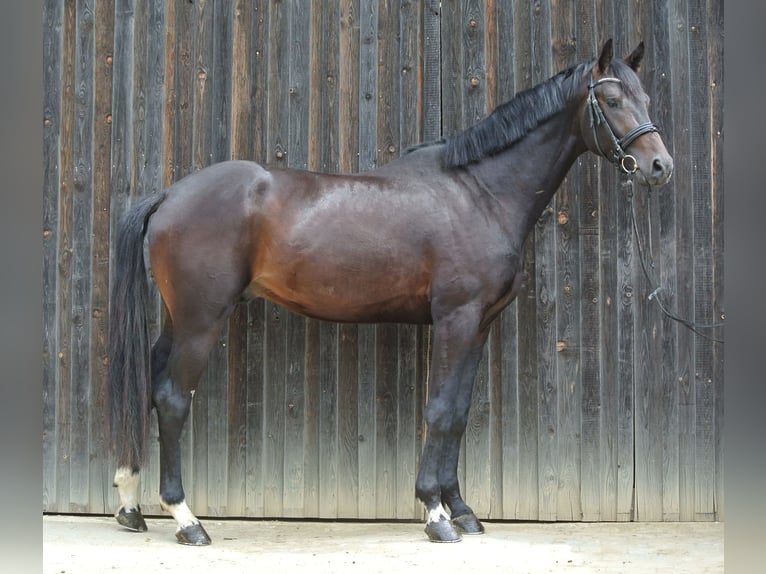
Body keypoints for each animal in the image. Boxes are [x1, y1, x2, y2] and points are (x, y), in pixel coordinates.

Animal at [106, 39, 672, 544]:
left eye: (646, 98)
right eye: (612, 100)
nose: (660, 167)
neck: (479, 194)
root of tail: (169, 195)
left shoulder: (479, 326)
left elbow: (458, 413)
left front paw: (462, 509)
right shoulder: (455, 319)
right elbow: (439, 410)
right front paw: (436, 514)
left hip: (179, 321)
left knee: (148, 386)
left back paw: (130, 506)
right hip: (201, 321)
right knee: (172, 398)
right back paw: (186, 520)